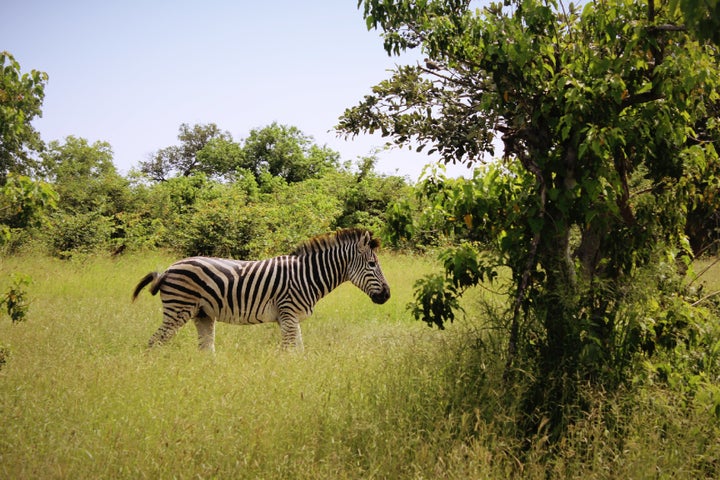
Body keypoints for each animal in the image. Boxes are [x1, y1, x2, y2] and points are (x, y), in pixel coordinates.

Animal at [132, 227, 390, 350]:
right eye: (372, 264)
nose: (387, 295)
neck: (307, 276)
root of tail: (168, 269)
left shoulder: (291, 319)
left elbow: (299, 352)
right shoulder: (288, 315)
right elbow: (288, 352)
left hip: (202, 313)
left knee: (205, 348)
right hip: (179, 309)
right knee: (155, 342)